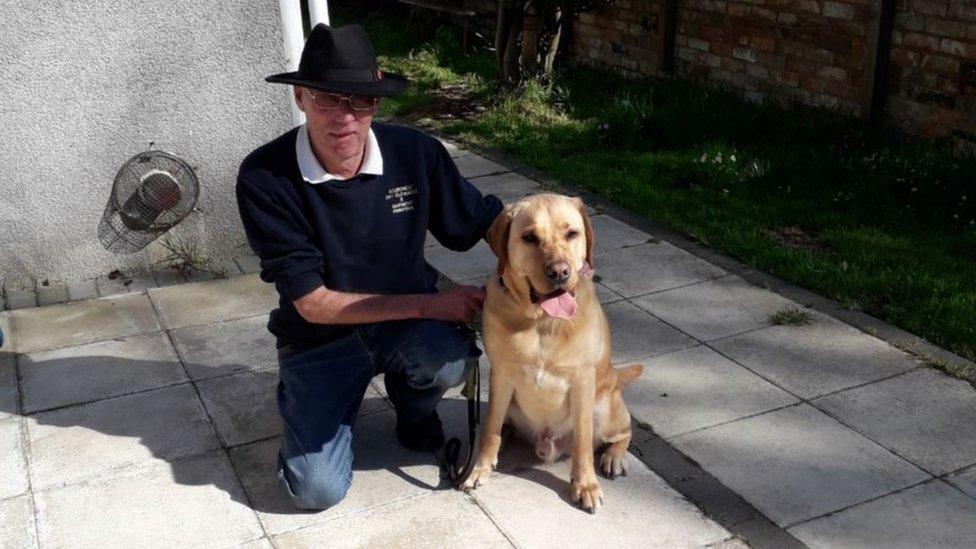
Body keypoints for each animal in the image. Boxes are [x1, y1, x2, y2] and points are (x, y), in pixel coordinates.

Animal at [462, 191, 644, 512]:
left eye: (572, 233)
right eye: (529, 237)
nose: (559, 272)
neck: (542, 321)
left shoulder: (582, 381)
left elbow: (583, 442)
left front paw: (585, 486)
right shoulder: (501, 375)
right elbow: (489, 429)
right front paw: (480, 468)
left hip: (605, 408)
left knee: (623, 432)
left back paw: (613, 457)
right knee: (501, 424)